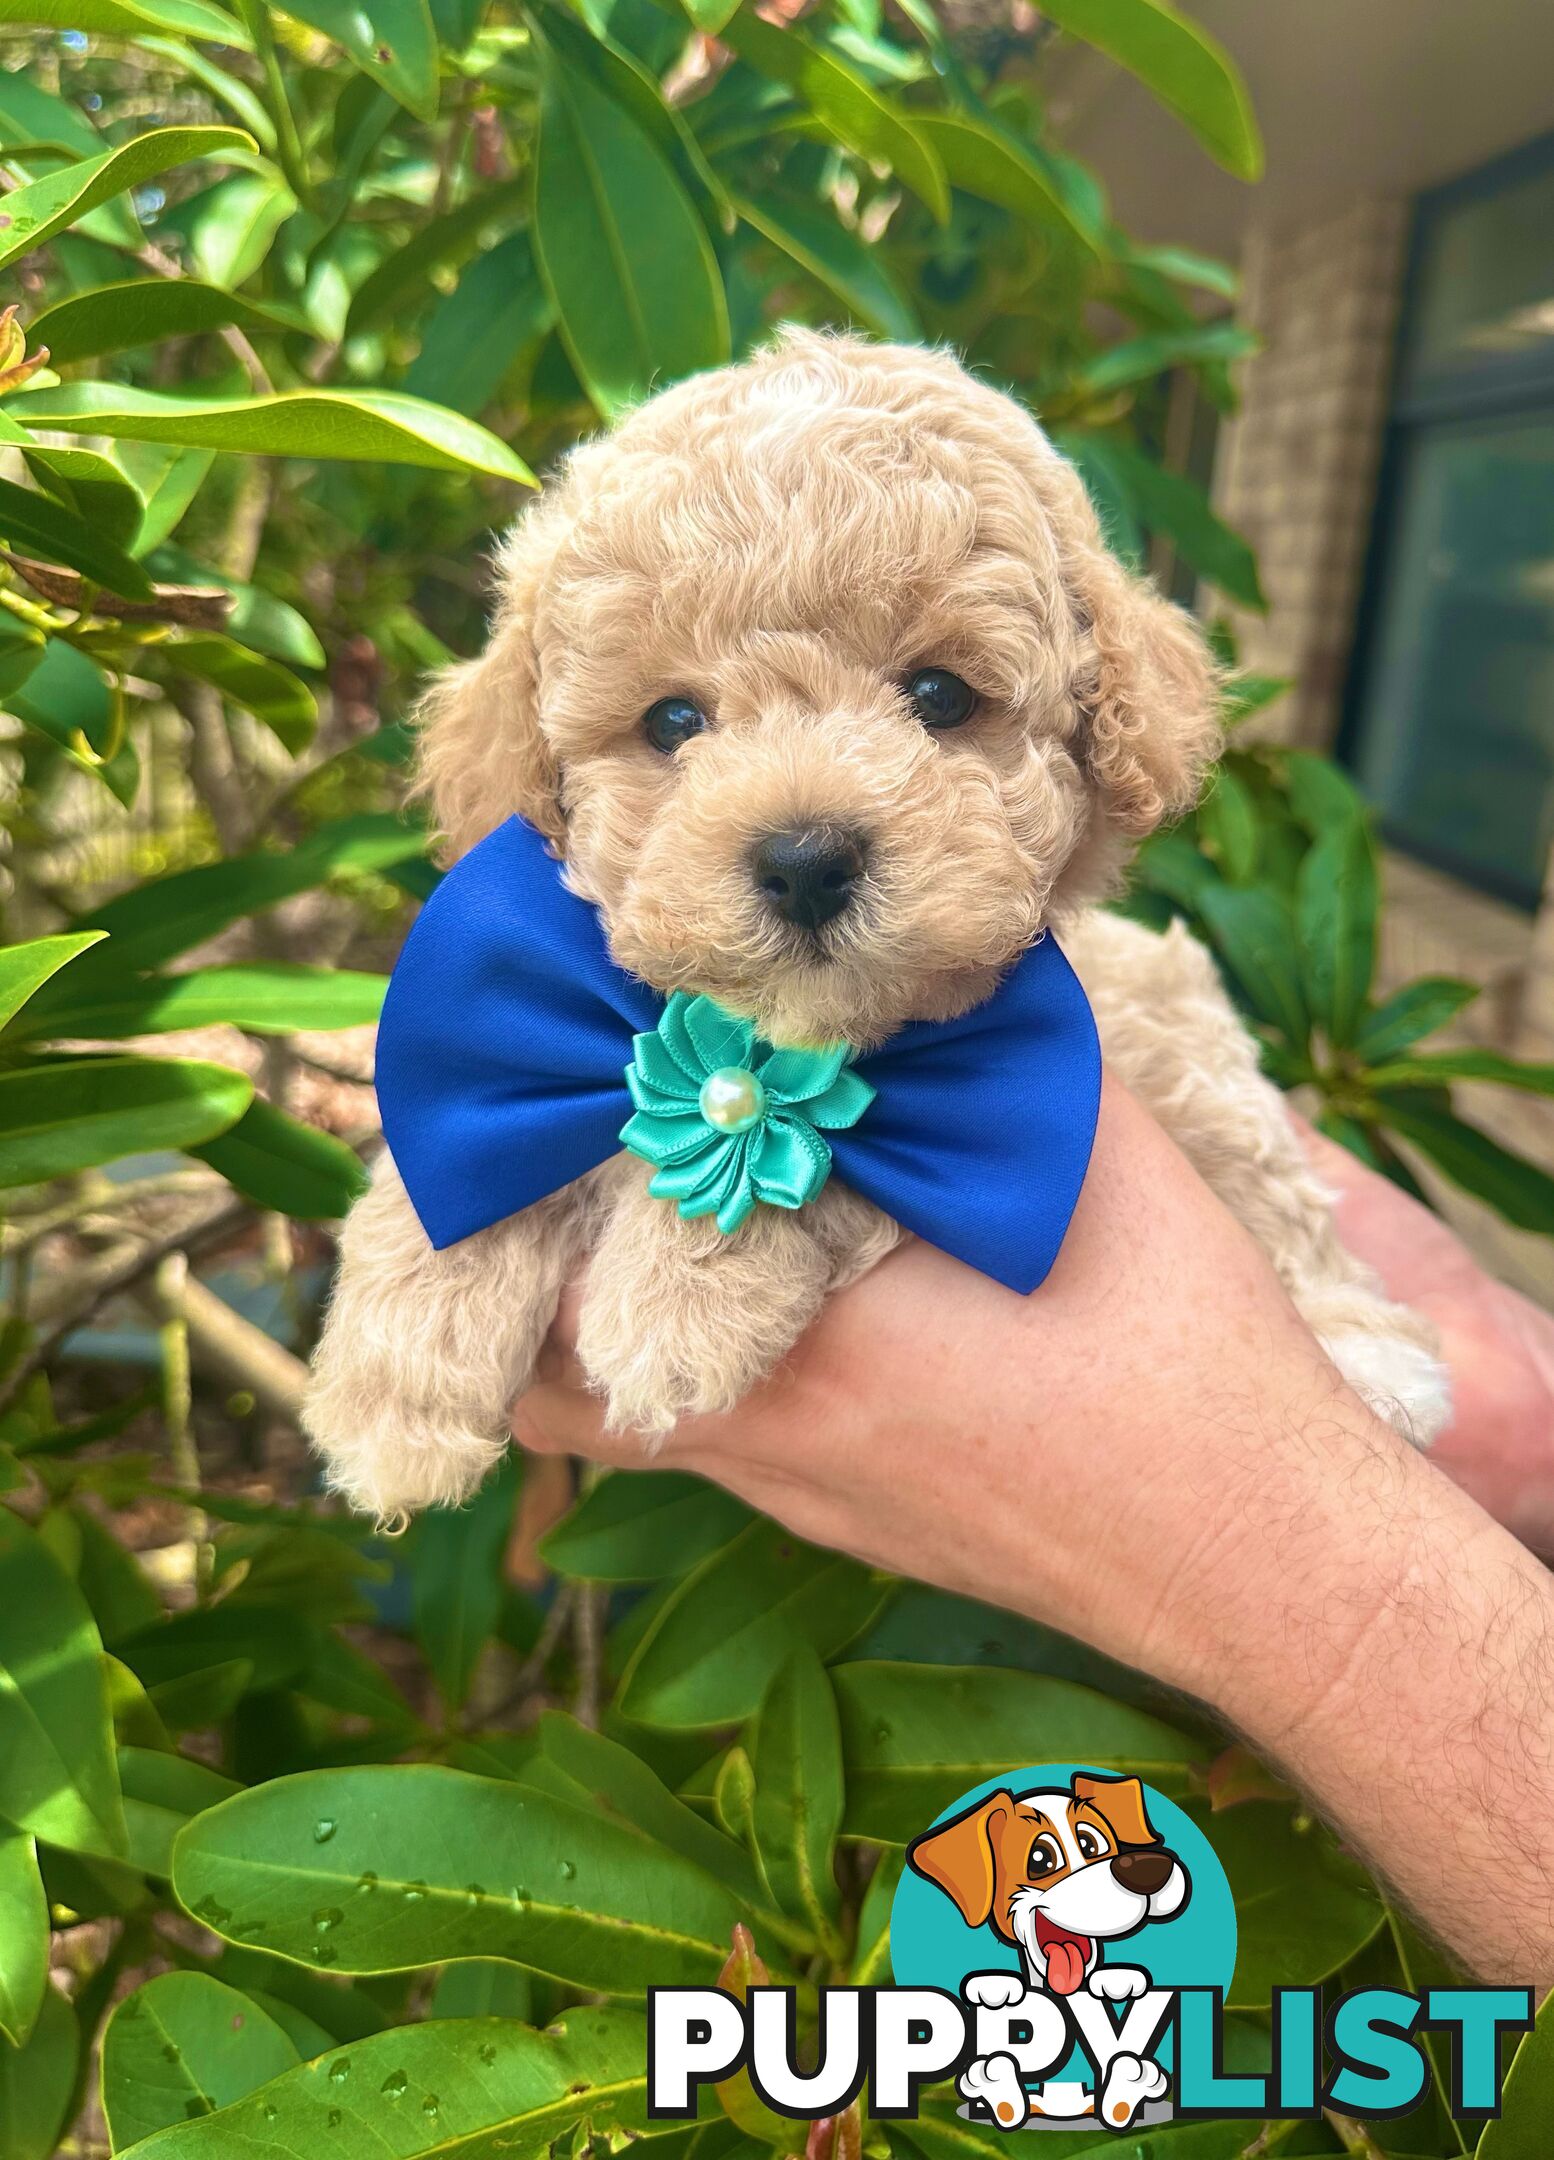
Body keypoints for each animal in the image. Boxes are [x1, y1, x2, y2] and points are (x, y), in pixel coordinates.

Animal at [306, 332, 1461, 1520]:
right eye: (672, 721)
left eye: (941, 696)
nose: (806, 861)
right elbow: (458, 1162)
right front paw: (393, 1376)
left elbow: (826, 1146)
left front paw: (679, 1296)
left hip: (1190, 1052)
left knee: (1286, 1207)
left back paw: (1370, 1360)